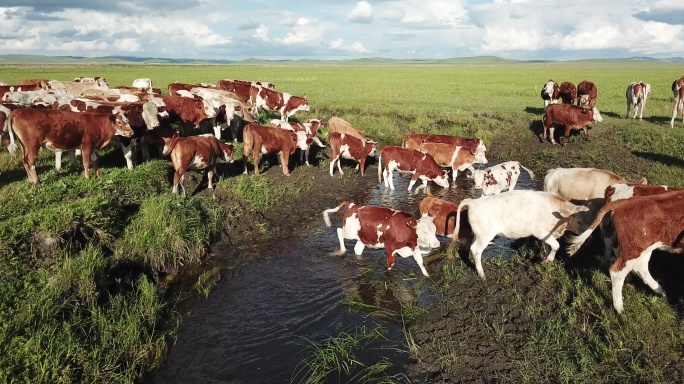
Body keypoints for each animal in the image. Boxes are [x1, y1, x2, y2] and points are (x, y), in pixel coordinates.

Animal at [448, 191, 588, 280]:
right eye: (579, 221)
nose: (581, 235)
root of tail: (474, 202)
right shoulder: (540, 231)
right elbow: (556, 245)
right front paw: (549, 259)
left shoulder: (546, 234)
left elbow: (548, 246)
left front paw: (544, 259)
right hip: (485, 235)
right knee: (476, 250)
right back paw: (482, 275)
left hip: (478, 234)